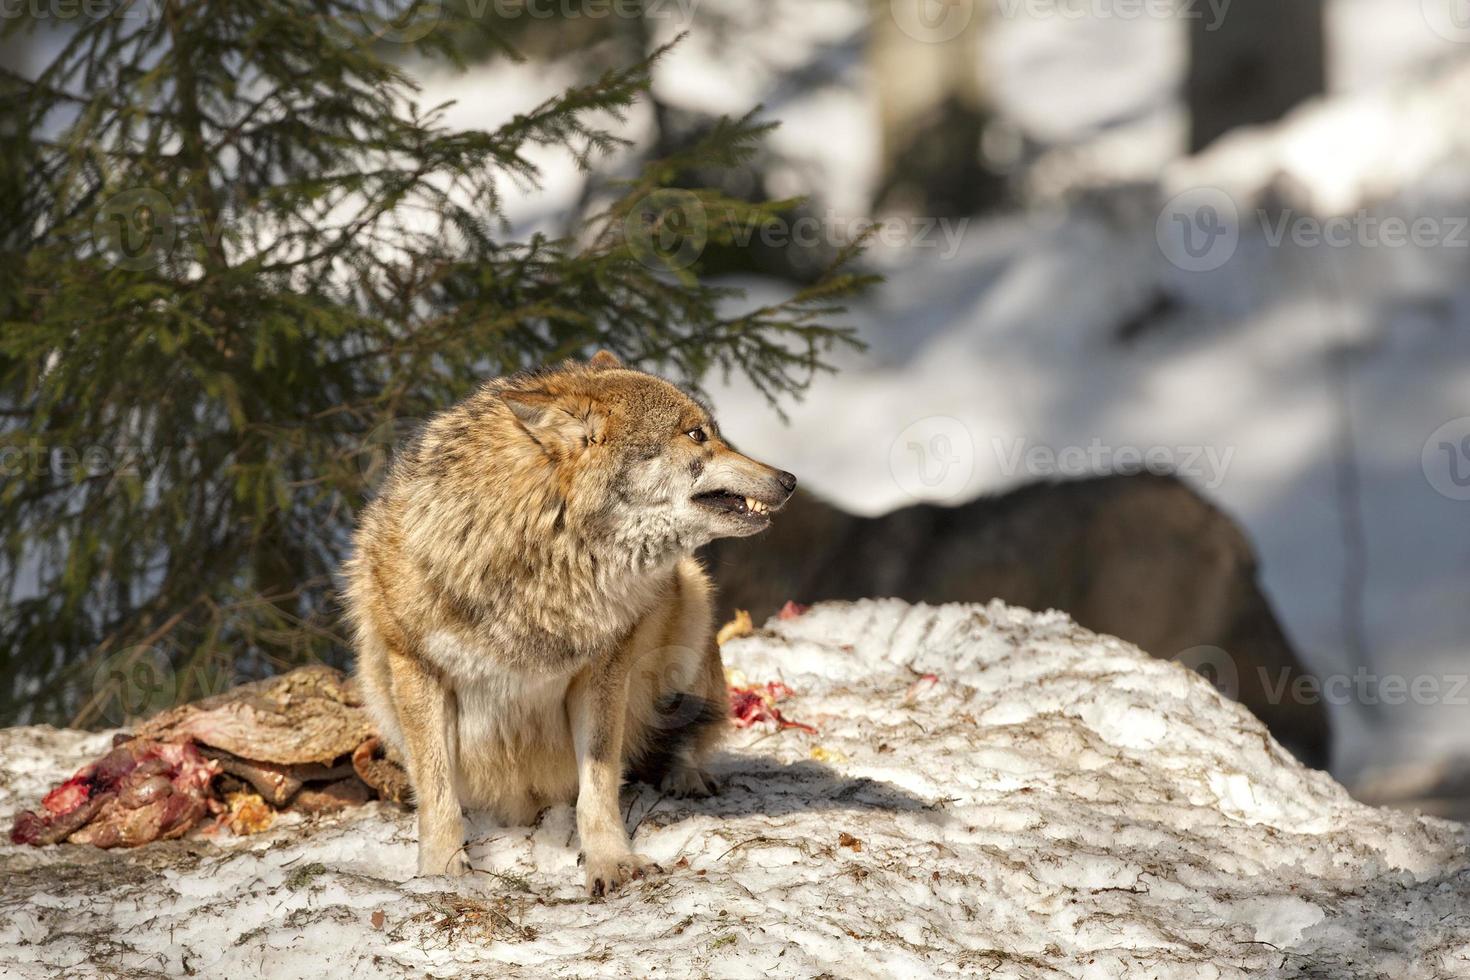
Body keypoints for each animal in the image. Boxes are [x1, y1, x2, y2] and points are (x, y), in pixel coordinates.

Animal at [342, 352, 793, 899]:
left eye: (712, 432)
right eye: (696, 435)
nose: (789, 479)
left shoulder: (604, 671)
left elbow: (597, 786)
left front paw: (611, 861)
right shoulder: (416, 666)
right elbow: (437, 793)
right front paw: (441, 873)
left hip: (692, 598)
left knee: (684, 733)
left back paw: (684, 776)